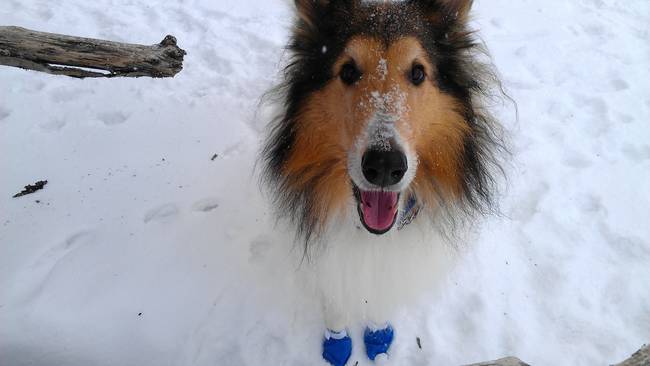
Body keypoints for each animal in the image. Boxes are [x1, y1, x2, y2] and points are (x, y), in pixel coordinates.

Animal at [258, 0, 502, 364]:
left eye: (418, 73)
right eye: (348, 71)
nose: (385, 166)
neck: (370, 236)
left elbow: (379, 301)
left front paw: (377, 337)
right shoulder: (328, 261)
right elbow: (336, 303)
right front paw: (338, 343)